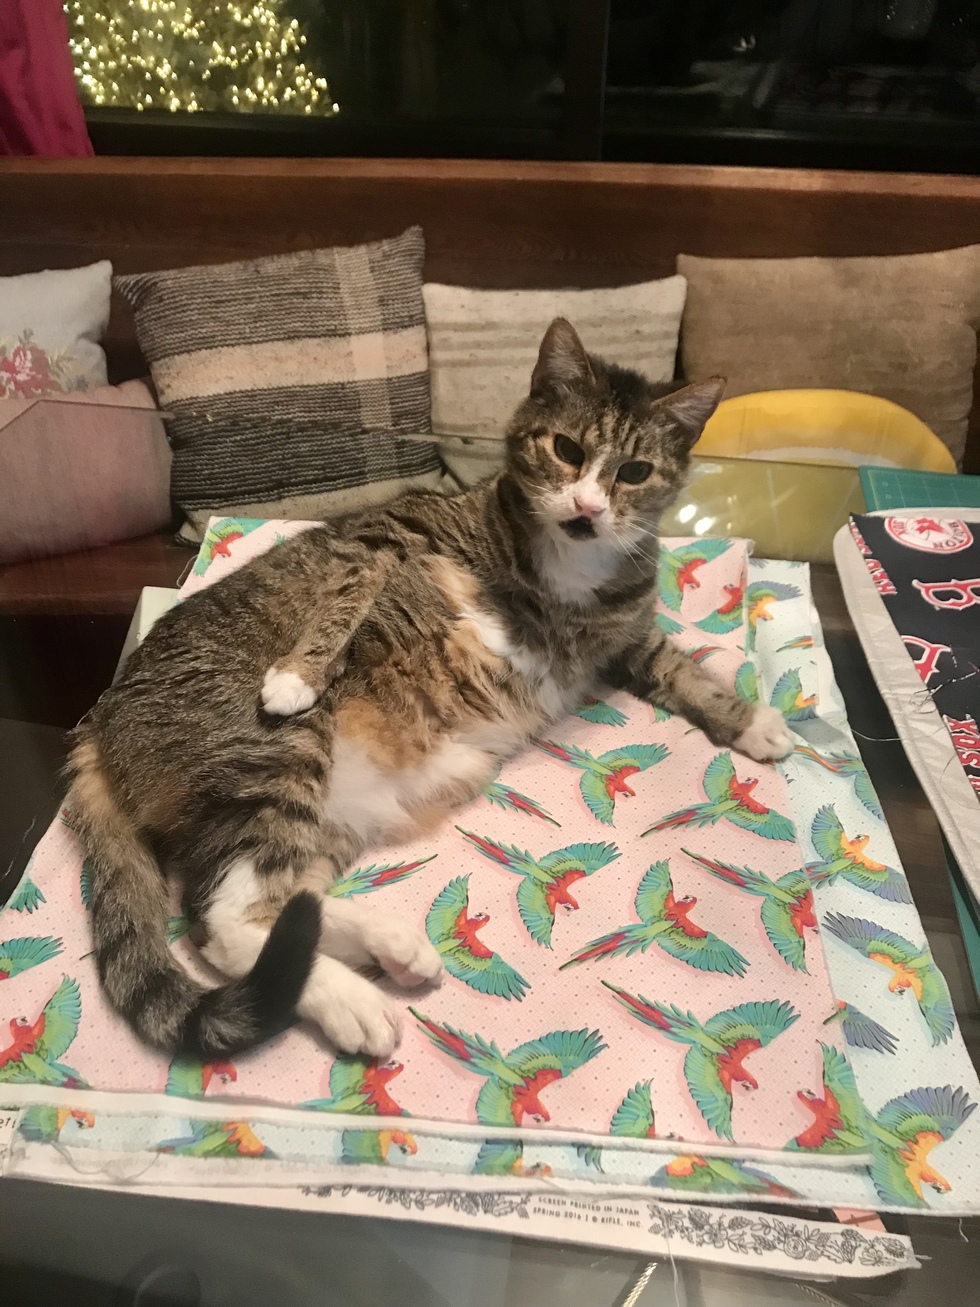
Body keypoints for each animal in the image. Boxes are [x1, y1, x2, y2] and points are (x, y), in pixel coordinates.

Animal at [67, 318, 792, 1063]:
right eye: (567, 450)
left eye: (634, 472)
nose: (589, 508)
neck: (572, 569)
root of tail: (99, 719)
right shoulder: (380, 533)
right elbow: (352, 583)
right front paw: (299, 672)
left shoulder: (627, 634)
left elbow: (680, 665)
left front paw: (750, 720)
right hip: (274, 757)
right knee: (222, 918)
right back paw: (351, 999)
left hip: (321, 821)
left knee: (278, 906)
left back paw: (389, 946)